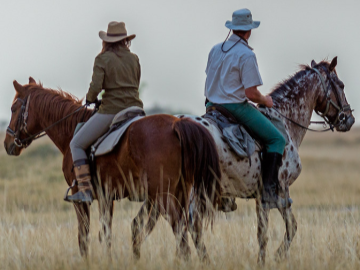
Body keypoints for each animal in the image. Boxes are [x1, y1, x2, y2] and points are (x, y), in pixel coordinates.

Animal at [4, 77, 221, 260]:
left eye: (14, 108)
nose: (7, 144)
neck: (71, 129)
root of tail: (177, 124)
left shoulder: (80, 197)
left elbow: (84, 236)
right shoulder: (106, 197)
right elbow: (106, 233)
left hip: (164, 196)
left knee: (180, 229)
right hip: (181, 192)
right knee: (189, 229)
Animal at [186, 57, 354, 264]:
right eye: (341, 85)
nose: (349, 119)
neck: (286, 122)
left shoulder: (261, 195)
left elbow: (262, 232)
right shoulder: (280, 189)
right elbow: (288, 227)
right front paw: (275, 257)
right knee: (191, 223)